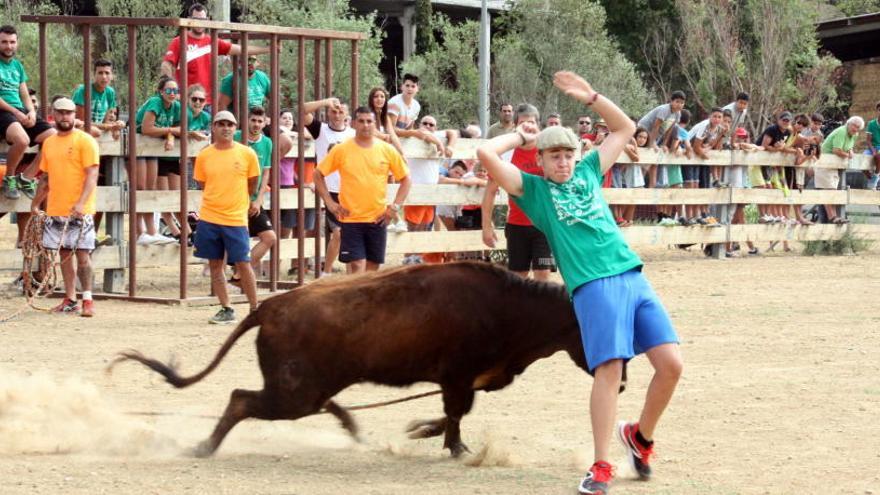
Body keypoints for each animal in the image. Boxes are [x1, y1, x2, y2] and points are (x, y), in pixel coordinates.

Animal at [115, 262, 624, 460]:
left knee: (311, 403)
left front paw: (423, 431)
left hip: (308, 387)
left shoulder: (464, 379)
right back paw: (204, 447)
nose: (619, 384)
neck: (511, 307)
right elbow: (457, 412)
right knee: (241, 399)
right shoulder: (458, 375)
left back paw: (352, 427)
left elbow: (452, 413)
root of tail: (270, 306)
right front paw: (454, 447)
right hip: (294, 391)